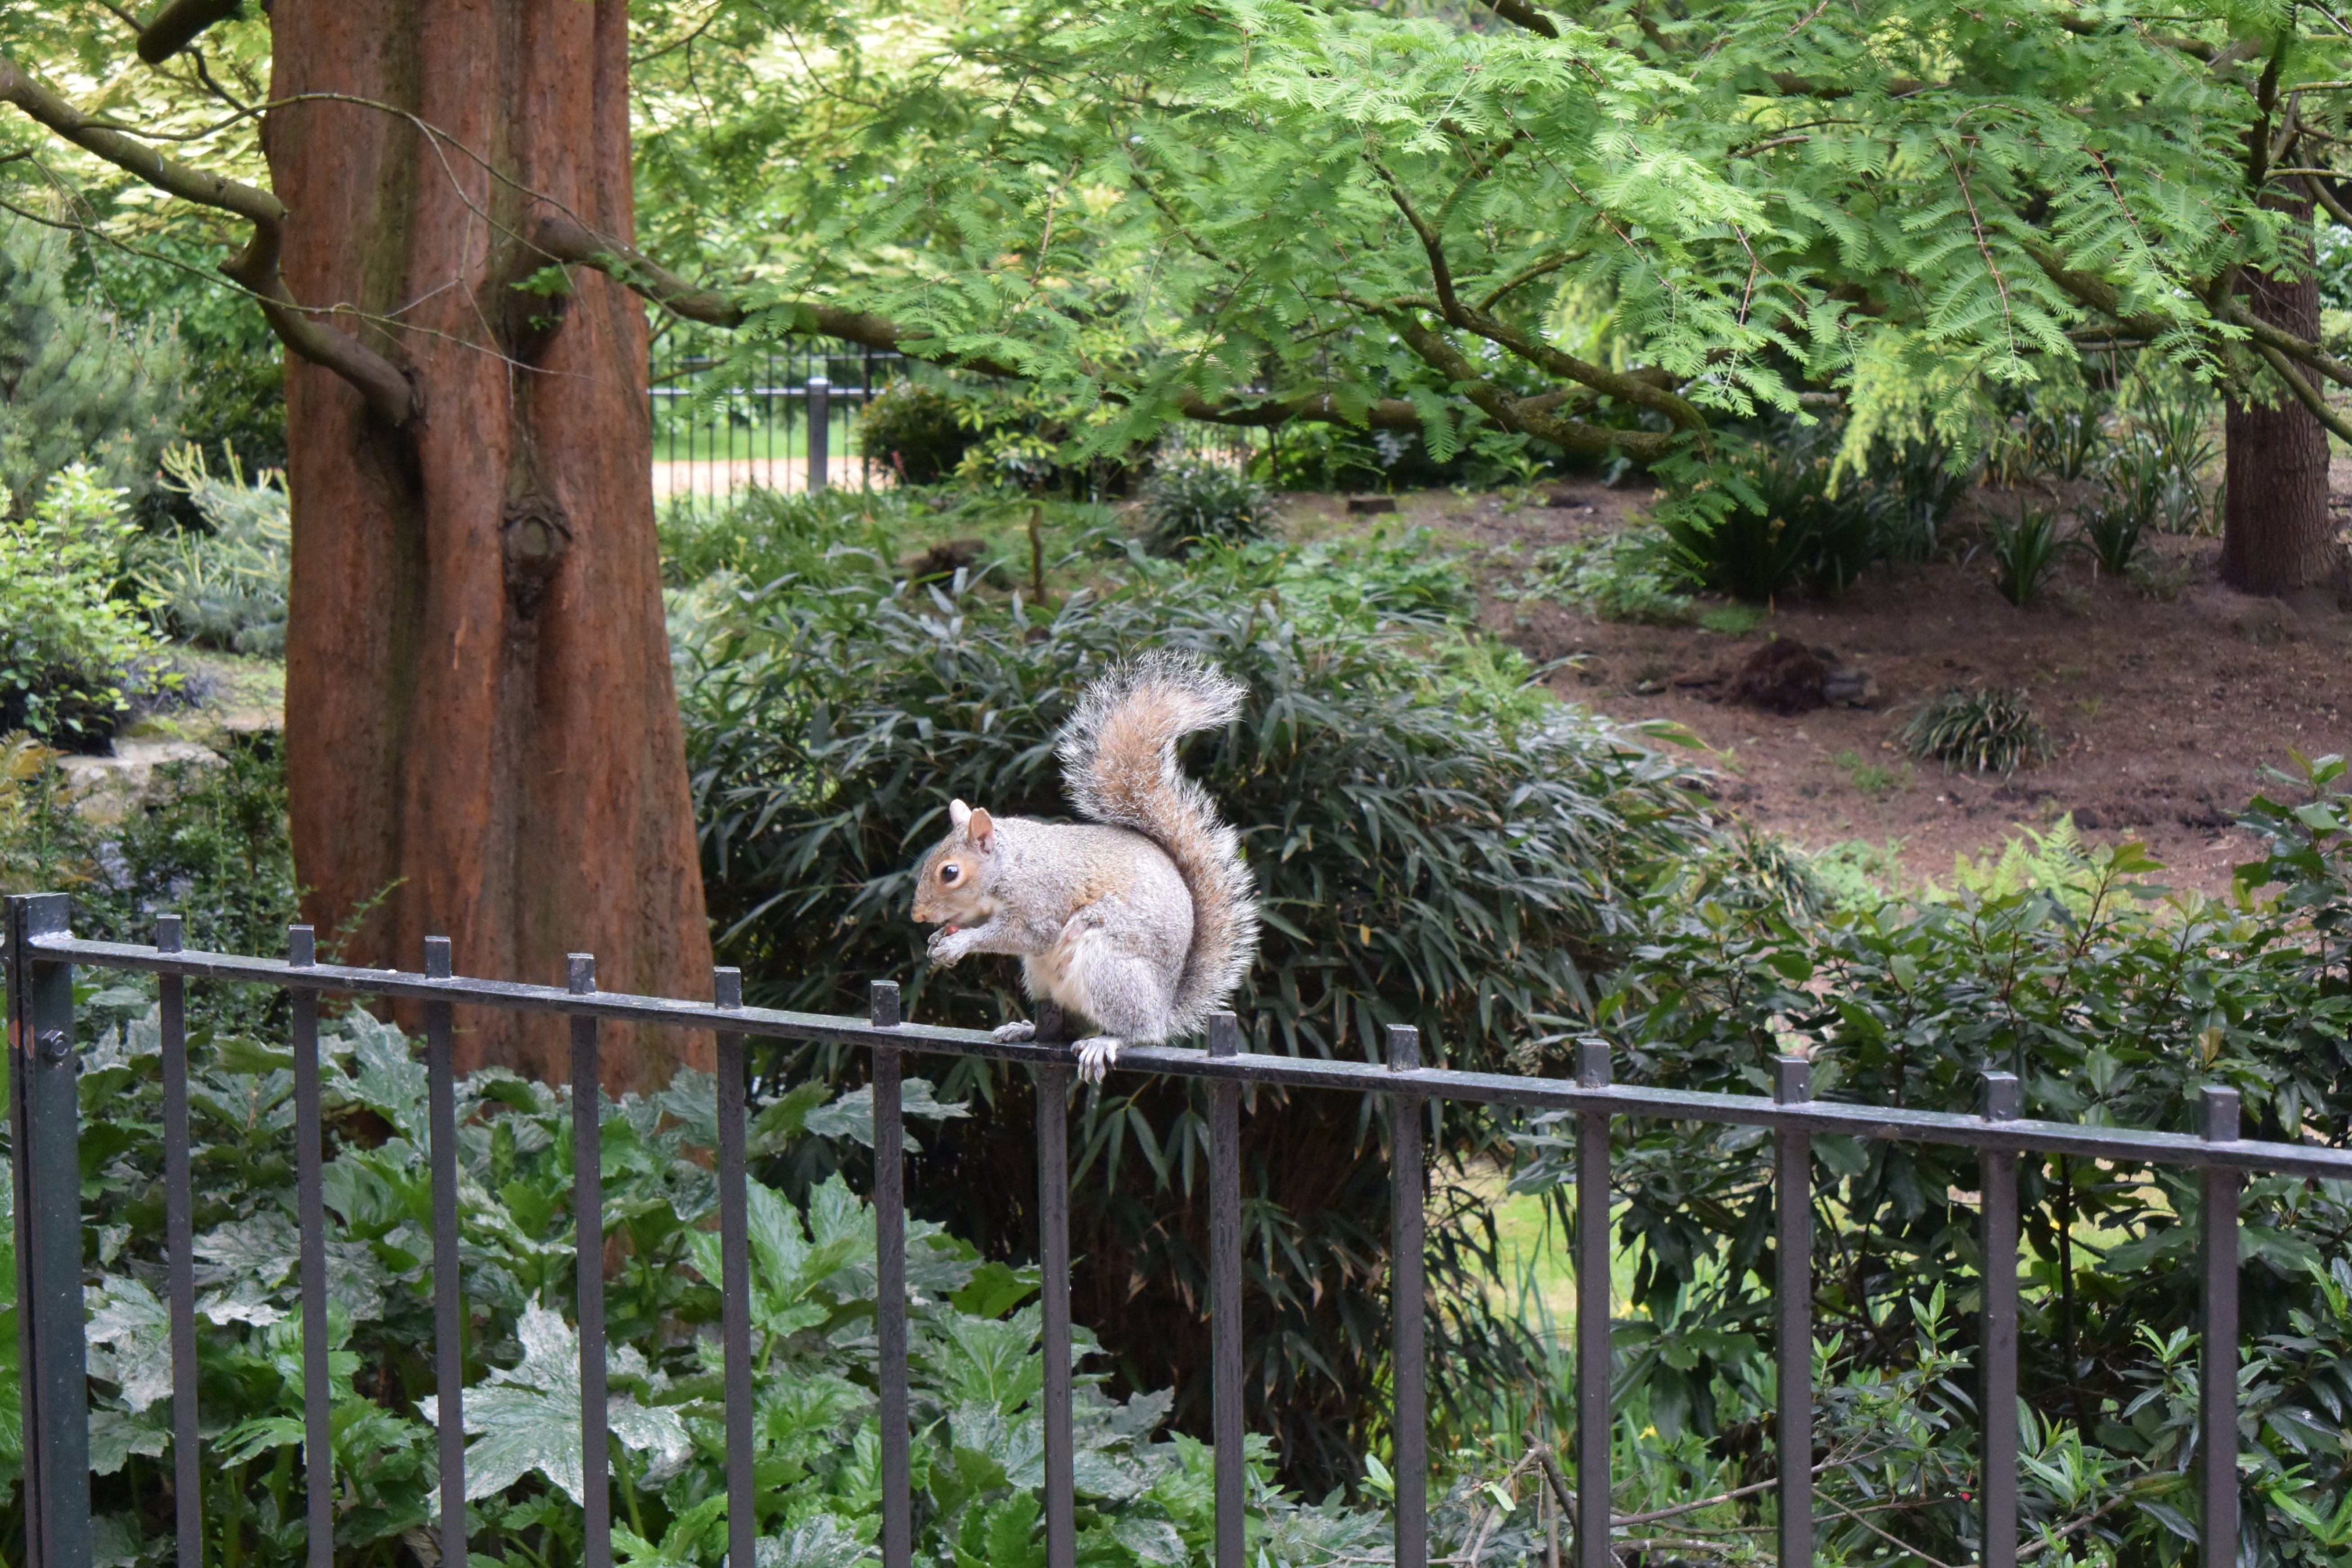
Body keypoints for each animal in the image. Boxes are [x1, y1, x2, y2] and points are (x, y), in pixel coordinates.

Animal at [910, 651, 1261, 1083]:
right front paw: (938, 938)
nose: (918, 915)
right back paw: (1027, 1029)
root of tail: (1164, 1008)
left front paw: (959, 943)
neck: (1013, 865)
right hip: (1044, 981)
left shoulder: (1042, 899)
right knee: (1071, 1025)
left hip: (1108, 968)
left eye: (950, 873)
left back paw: (1107, 1041)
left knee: (1135, 1030)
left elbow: (1025, 934)